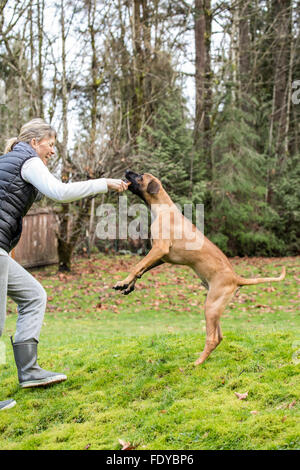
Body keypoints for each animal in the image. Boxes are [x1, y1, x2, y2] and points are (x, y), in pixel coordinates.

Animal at [113, 171, 288, 366]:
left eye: (140, 177)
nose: (127, 171)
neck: (163, 208)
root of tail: (236, 278)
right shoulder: (161, 257)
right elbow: (141, 270)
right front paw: (128, 285)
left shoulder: (159, 250)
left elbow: (136, 267)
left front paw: (123, 282)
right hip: (215, 306)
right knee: (219, 336)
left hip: (211, 306)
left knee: (212, 338)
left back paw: (197, 363)